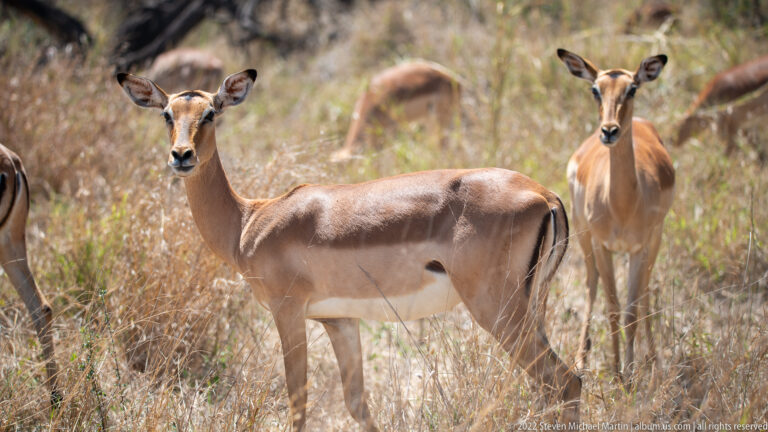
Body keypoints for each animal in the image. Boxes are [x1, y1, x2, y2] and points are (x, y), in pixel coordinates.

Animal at [557, 49, 675, 380]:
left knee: (645, 290)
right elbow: (611, 306)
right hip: (583, 234)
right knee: (591, 283)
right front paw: (618, 372)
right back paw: (581, 359)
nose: (609, 131)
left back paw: (655, 360)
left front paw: (631, 373)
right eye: (595, 90)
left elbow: (631, 311)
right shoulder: (602, 245)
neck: (622, 205)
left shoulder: (640, 247)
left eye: (632, 88)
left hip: (656, 239)